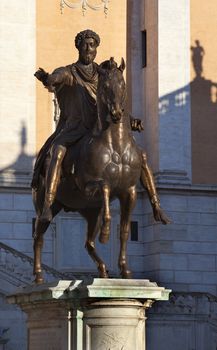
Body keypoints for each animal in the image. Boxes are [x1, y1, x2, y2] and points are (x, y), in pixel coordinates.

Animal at [32, 56, 168, 284]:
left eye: (123, 85)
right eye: (104, 86)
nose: (116, 114)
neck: (115, 144)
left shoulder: (129, 192)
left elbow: (124, 231)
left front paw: (125, 270)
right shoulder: (90, 187)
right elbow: (105, 190)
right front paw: (106, 232)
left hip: (89, 212)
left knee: (88, 243)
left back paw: (103, 270)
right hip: (48, 204)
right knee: (39, 235)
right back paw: (39, 275)